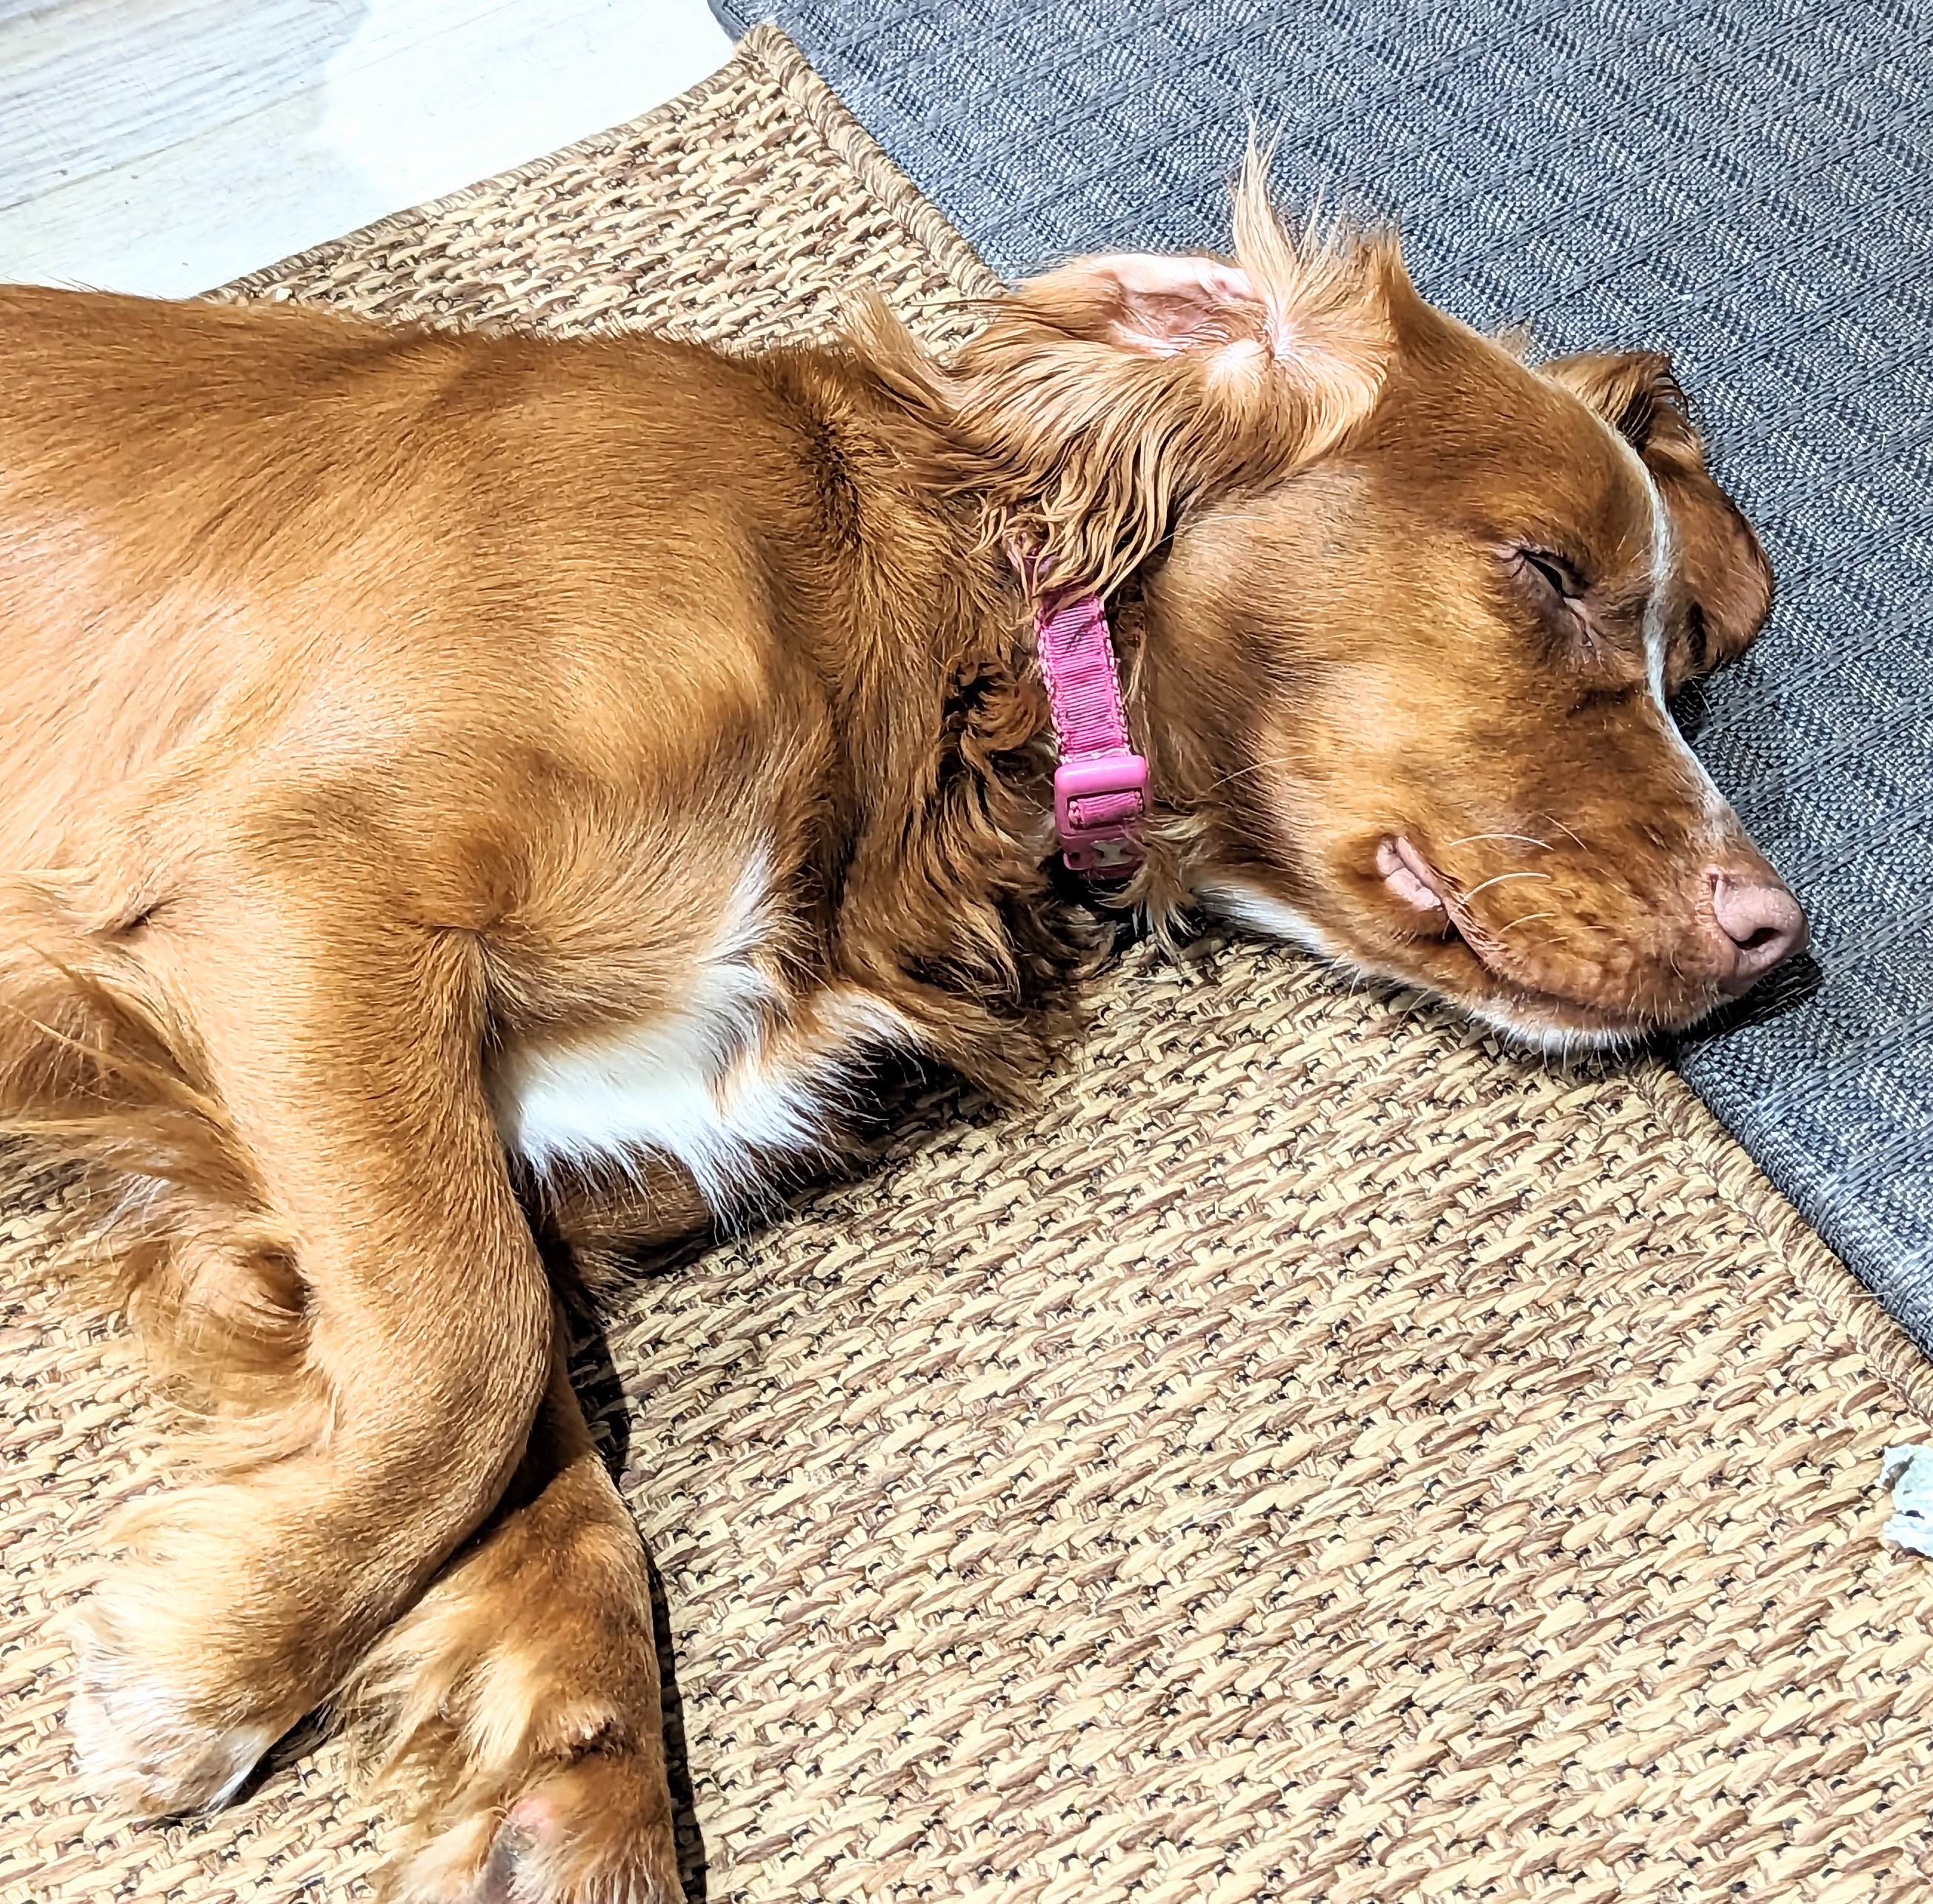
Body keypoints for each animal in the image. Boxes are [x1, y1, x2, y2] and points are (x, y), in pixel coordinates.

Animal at [0, 161, 1802, 1902]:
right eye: (1544, 575)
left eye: (1674, 656)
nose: (1772, 932)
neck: (927, 654)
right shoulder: (299, 882)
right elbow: (471, 1353)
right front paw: (209, 1674)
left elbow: (531, 1440)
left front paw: (571, 1800)